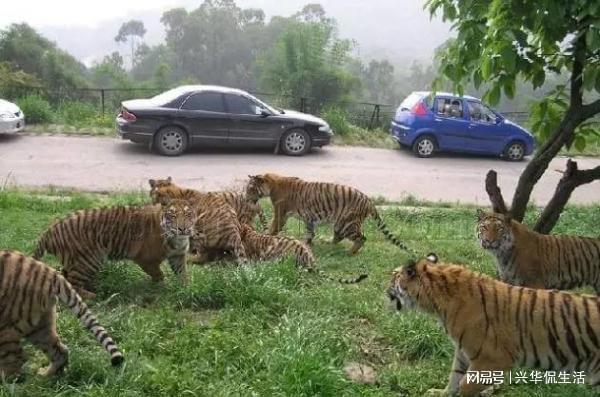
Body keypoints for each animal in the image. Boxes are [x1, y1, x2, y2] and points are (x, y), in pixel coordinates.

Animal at [0, 249, 123, 378]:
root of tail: (49, 272)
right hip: (39, 325)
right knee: (60, 351)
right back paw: (47, 375)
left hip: (8, 328)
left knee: (15, 361)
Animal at [34, 198, 197, 296]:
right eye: (173, 216)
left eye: (188, 214)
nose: (183, 229)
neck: (177, 239)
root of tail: (49, 231)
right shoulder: (146, 260)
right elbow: (159, 275)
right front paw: (161, 288)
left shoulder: (178, 256)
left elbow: (182, 274)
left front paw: (186, 289)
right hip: (90, 259)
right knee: (74, 283)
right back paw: (93, 295)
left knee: (65, 278)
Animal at [244, 172, 412, 254]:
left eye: (250, 188)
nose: (245, 197)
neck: (271, 185)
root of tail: (368, 200)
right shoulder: (309, 218)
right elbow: (310, 232)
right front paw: (307, 243)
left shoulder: (280, 213)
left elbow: (273, 227)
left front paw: (267, 236)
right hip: (340, 224)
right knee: (338, 237)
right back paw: (328, 243)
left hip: (348, 224)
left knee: (362, 238)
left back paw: (349, 252)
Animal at [390, 254, 600, 396]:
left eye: (393, 278)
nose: (385, 289)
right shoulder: (464, 351)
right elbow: (455, 376)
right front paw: (441, 393)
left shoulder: (493, 359)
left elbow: (465, 384)